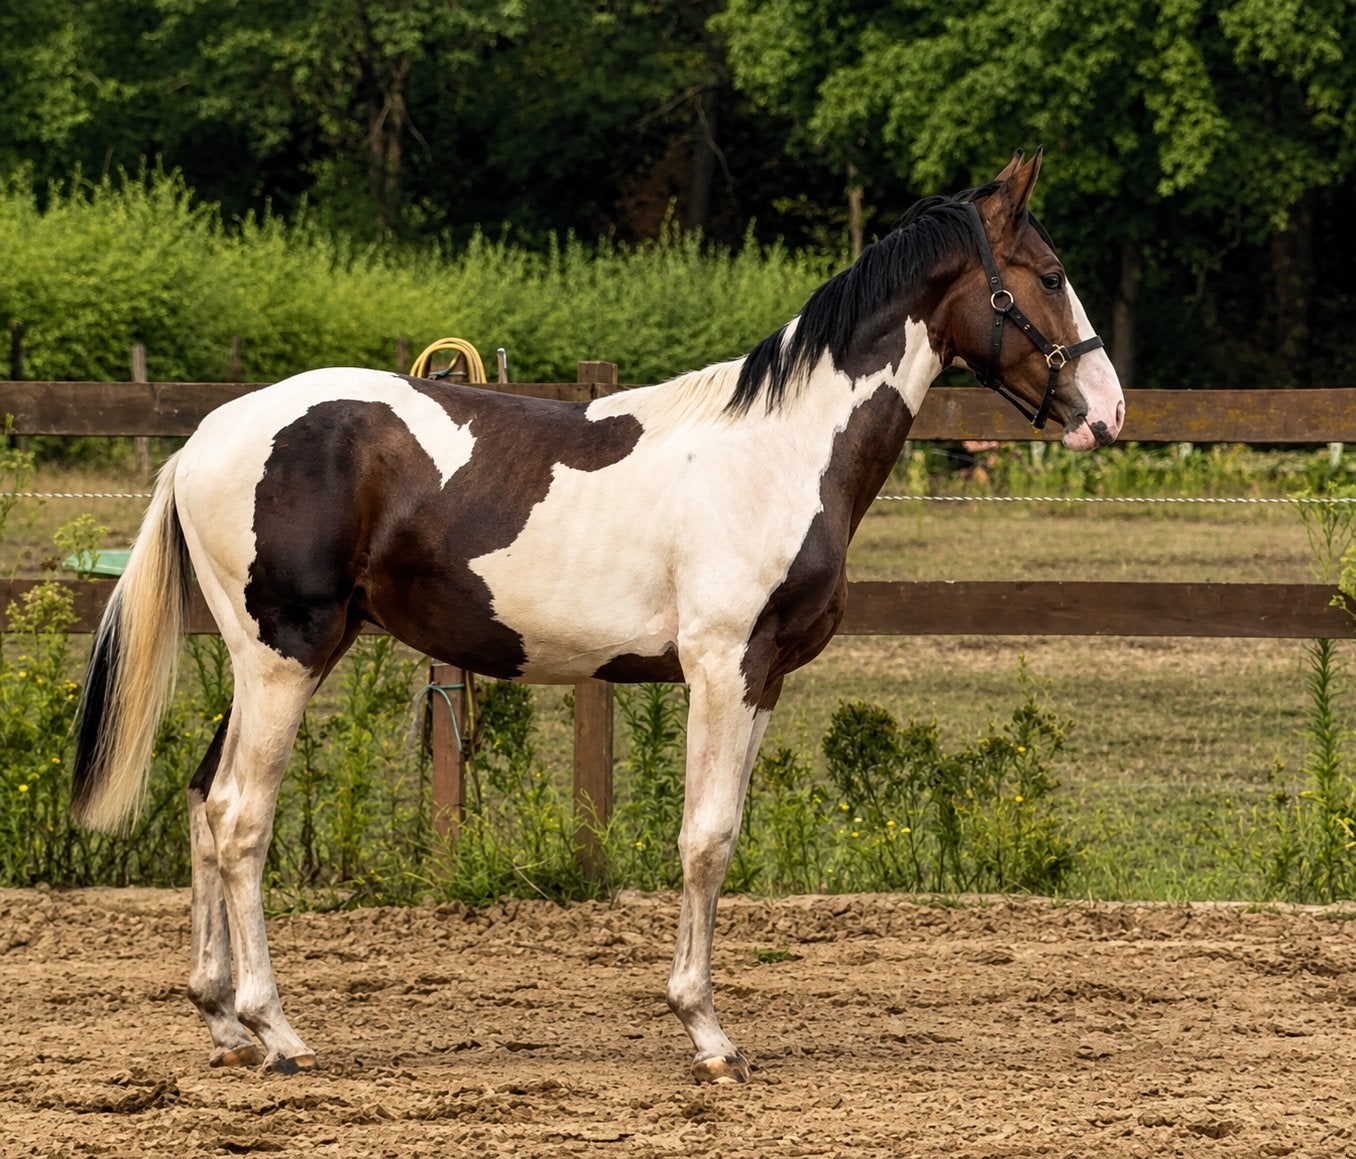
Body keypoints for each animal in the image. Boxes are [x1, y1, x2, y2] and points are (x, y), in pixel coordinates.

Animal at [72, 148, 1123, 1085]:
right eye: (1051, 275)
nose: (1108, 413)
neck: (779, 452)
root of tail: (205, 437)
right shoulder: (721, 666)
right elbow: (704, 839)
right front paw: (707, 1034)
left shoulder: (765, 678)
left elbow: (724, 834)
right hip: (286, 655)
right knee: (241, 817)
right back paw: (277, 1031)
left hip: (264, 661)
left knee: (203, 804)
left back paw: (222, 1021)